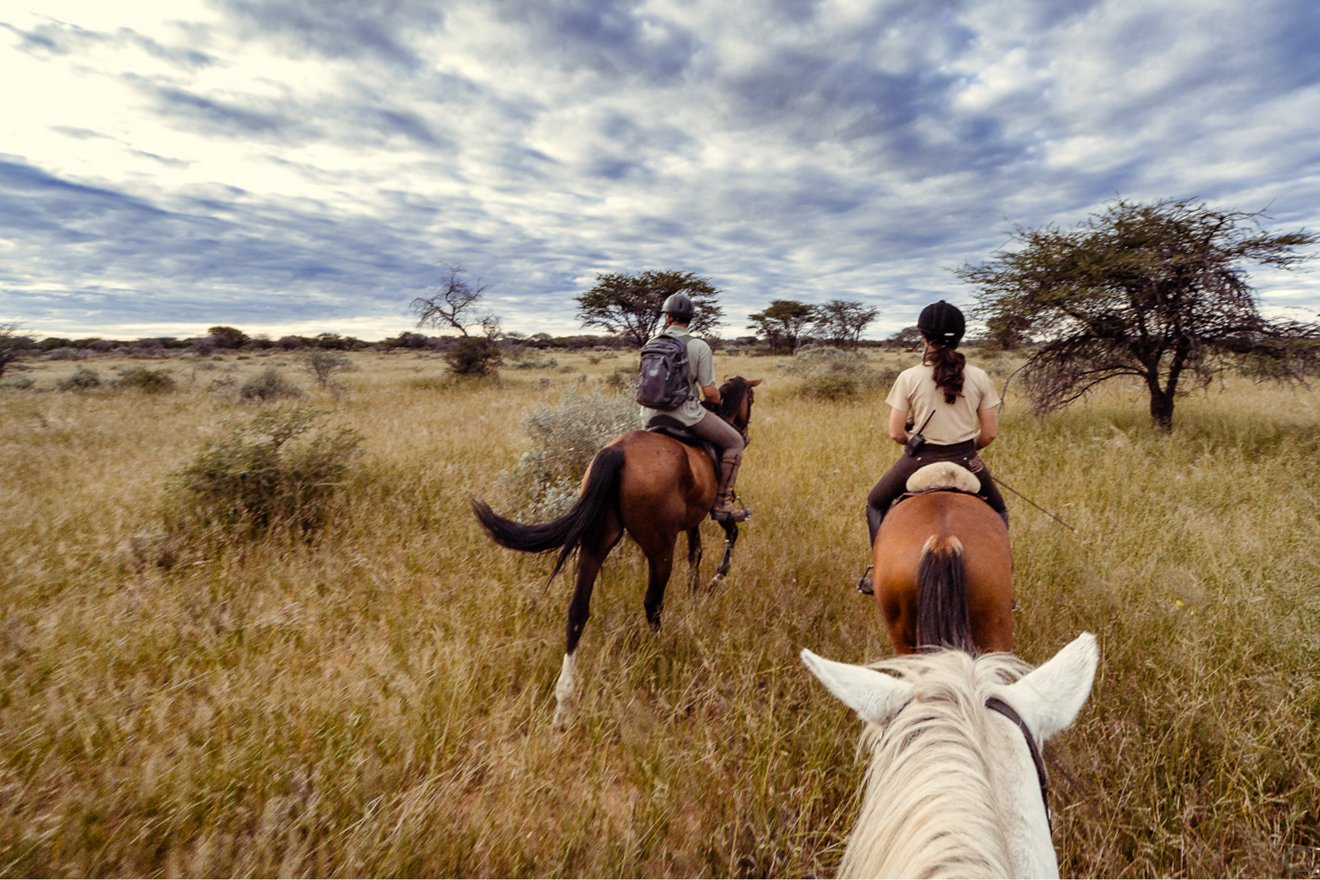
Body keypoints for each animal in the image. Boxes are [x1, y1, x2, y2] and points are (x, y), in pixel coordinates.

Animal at [475, 379, 765, 728]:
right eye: (751, 399)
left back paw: (563, 704)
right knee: (653, 603)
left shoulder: (692, 520)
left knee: (577, 611)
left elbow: (695, 553)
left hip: (596, 542)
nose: (745, 434)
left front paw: (695, 591)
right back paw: (659, 654)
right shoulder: (714, 510)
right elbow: (728, 536)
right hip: (659, 546)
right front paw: (713, 582)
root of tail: (616, 452)